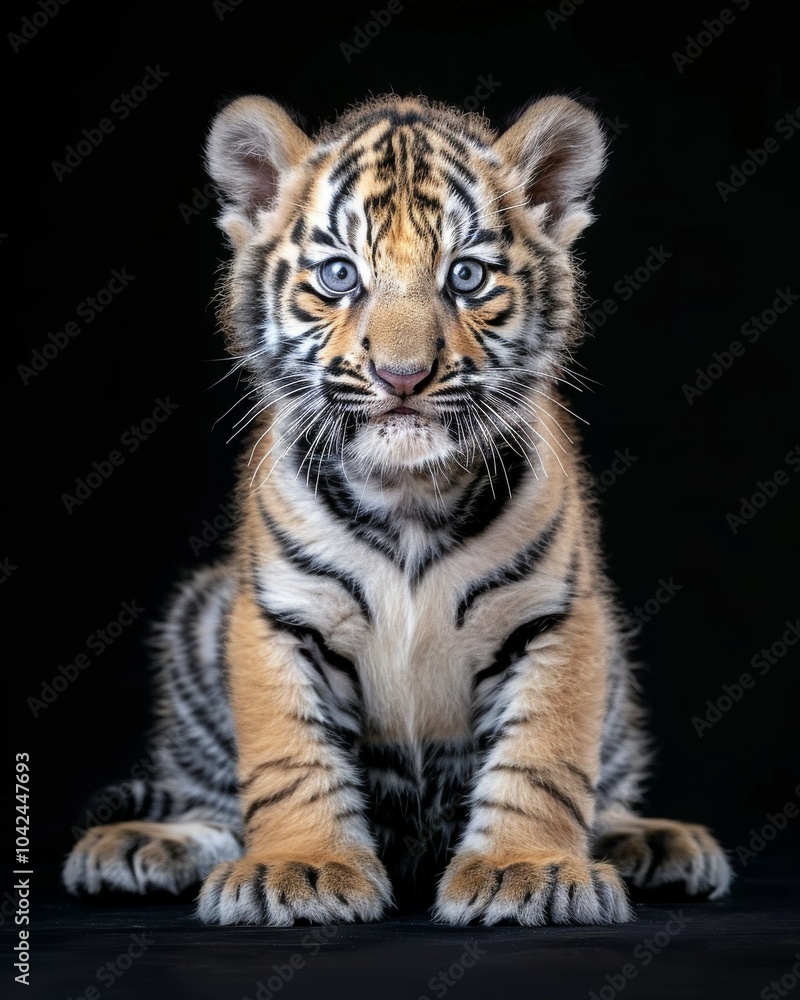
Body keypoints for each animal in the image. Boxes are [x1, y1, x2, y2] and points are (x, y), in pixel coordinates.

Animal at [62, 91, 733, 926]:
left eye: (467, 277)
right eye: (339, 276)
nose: (403, 375)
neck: (409, 495)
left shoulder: (557, 616)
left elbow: (543, 759)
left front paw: (527, 870)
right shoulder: (277, 616)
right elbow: (288, 760)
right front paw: (300, 867)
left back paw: (659, 841)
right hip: (200, 614)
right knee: (213, 804)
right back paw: (139, 844)